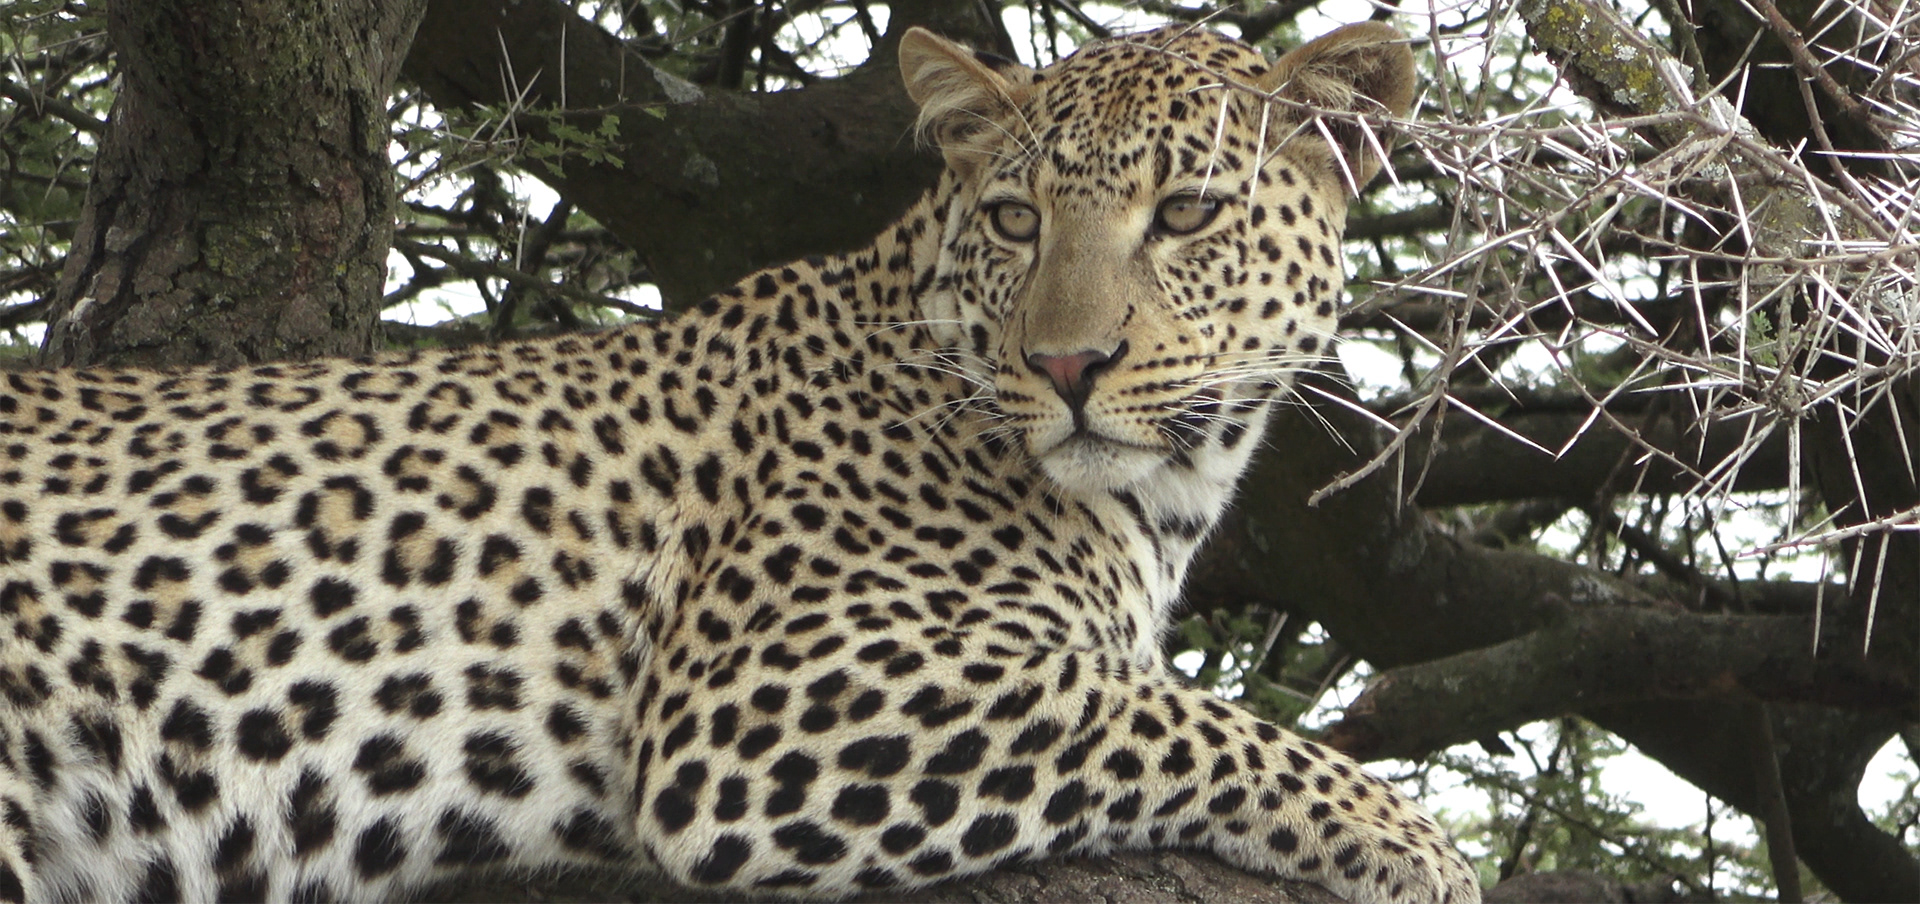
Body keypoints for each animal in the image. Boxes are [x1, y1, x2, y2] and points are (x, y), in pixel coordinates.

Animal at [0, 21, 1480, 904]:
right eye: (1017, 220)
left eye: (1184, 215)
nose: (1068, 367)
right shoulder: (766, 692)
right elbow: (1176, 715)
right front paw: (1414, 845)